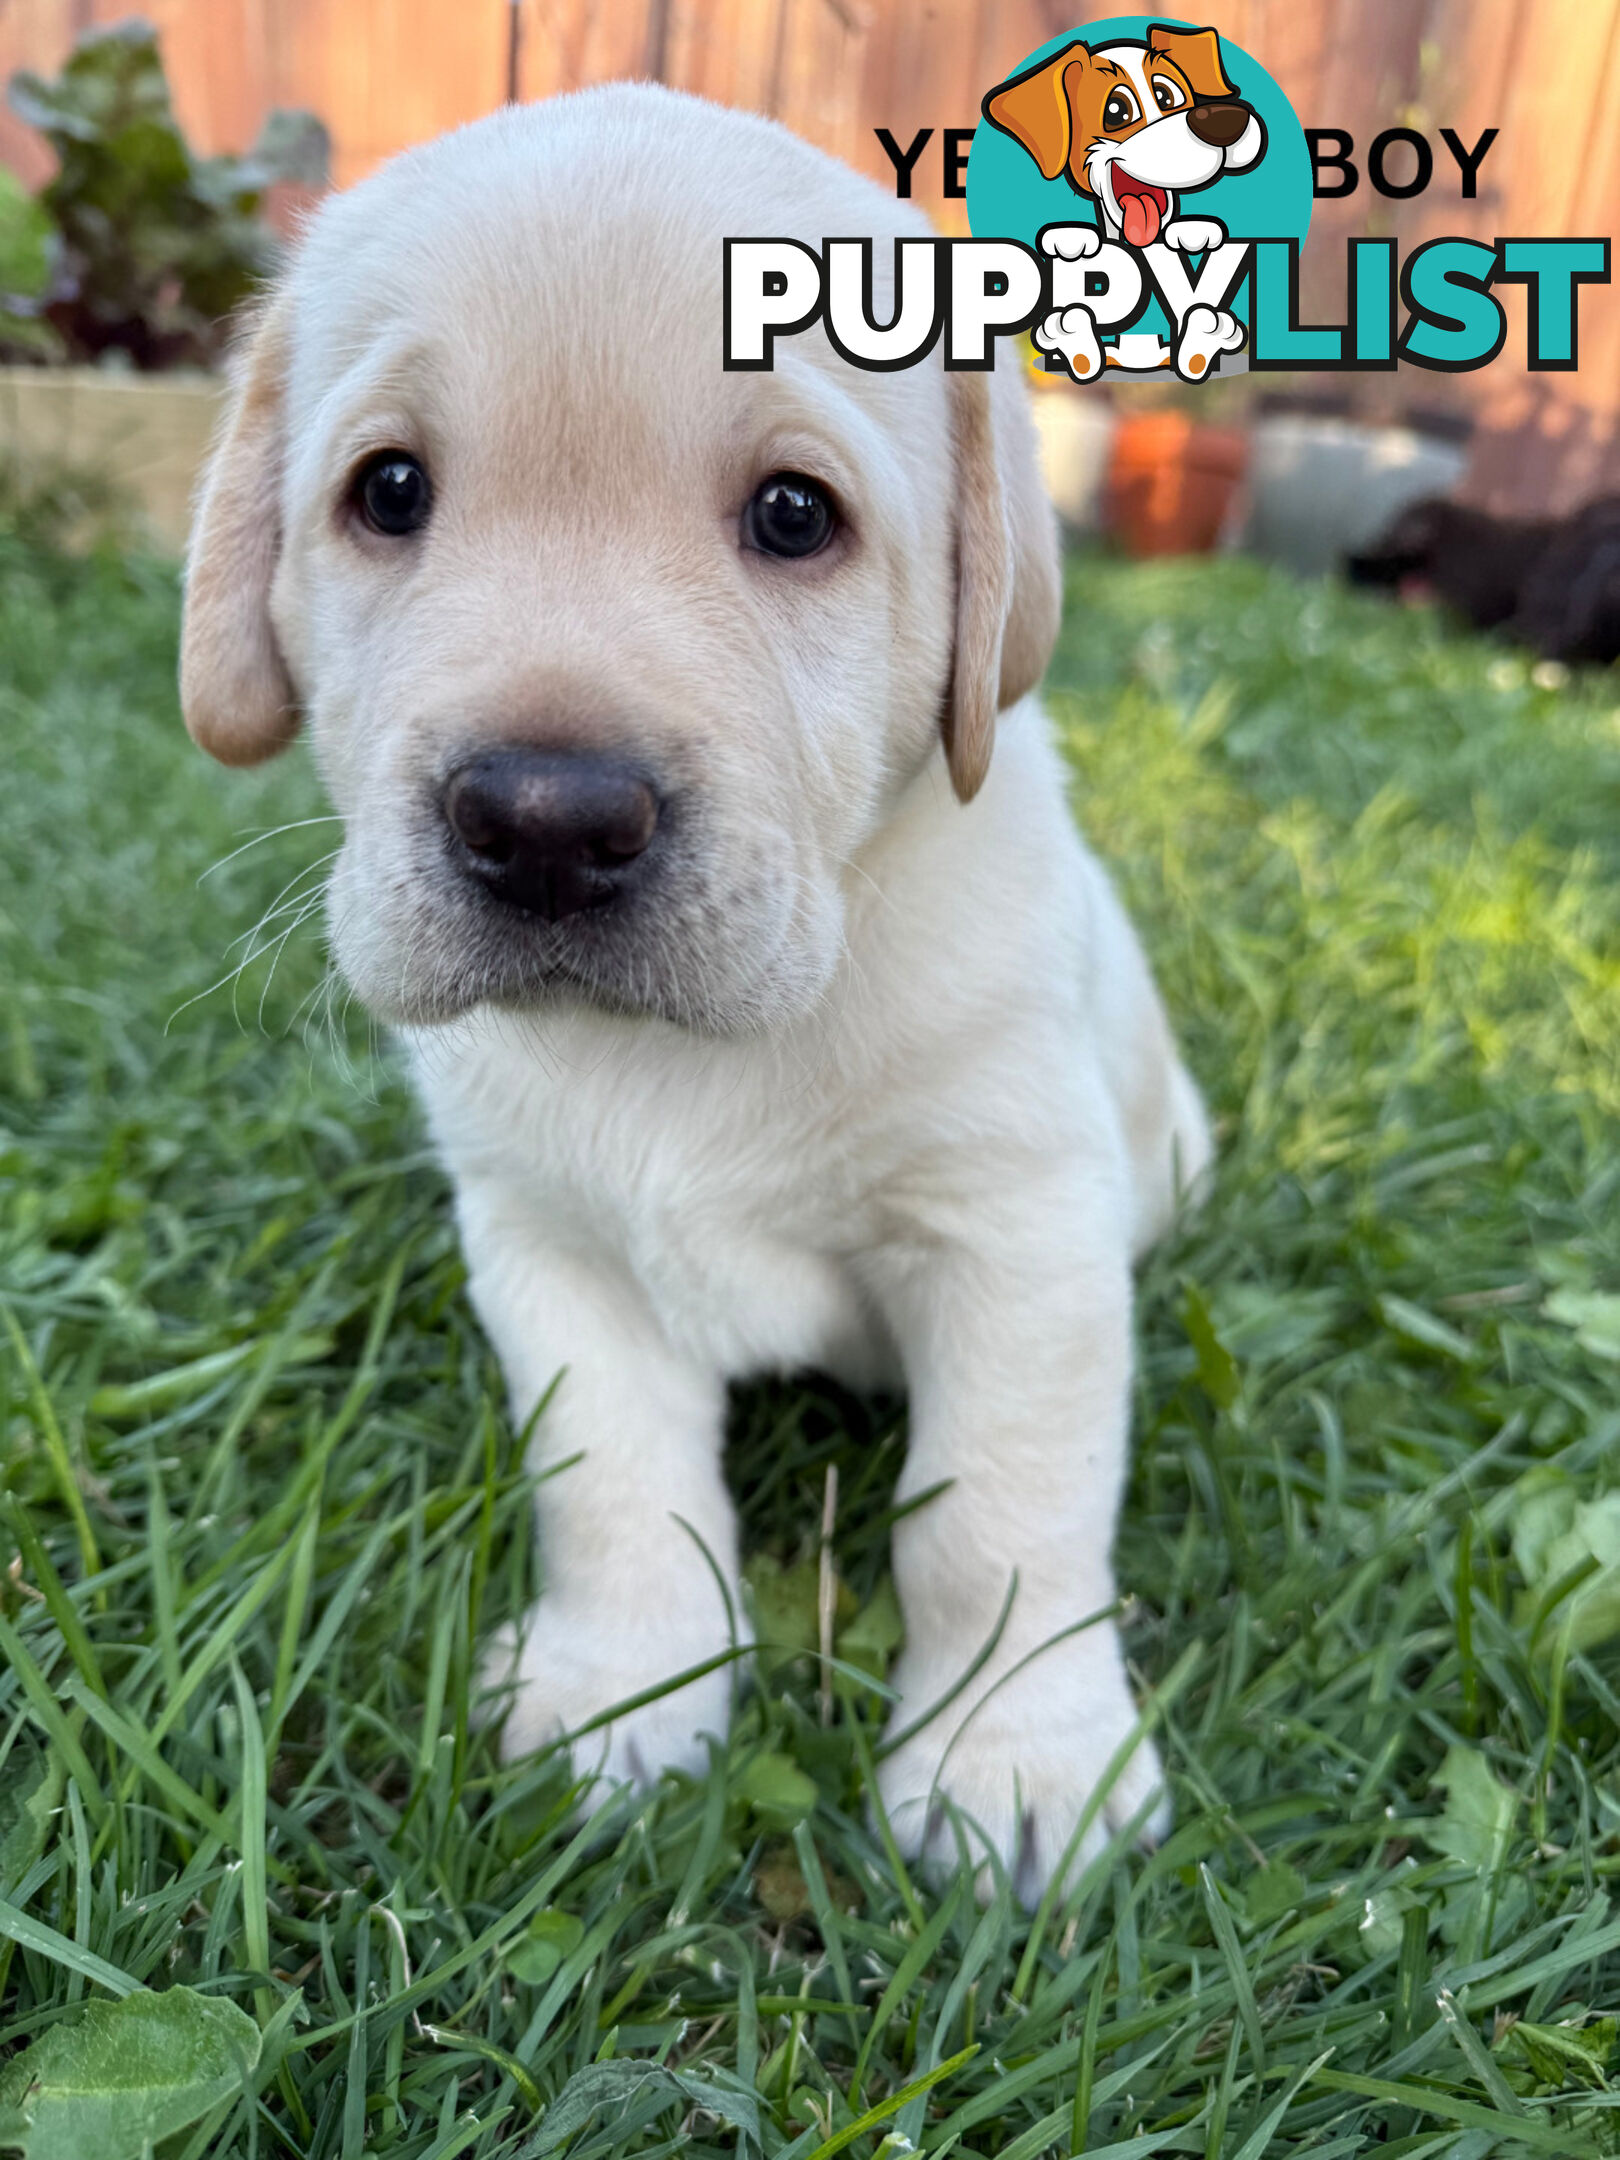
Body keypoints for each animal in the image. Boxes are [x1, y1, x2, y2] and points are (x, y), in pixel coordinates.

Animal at [183, 79, 1209, 1892]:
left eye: (795, 516)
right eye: (391, 492)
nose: (544, 821)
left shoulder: (1017, 1237)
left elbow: (1000, 1517)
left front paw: (1022, 1765)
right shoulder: (547, 1250)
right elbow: (613, 1486)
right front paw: (622, 1690)